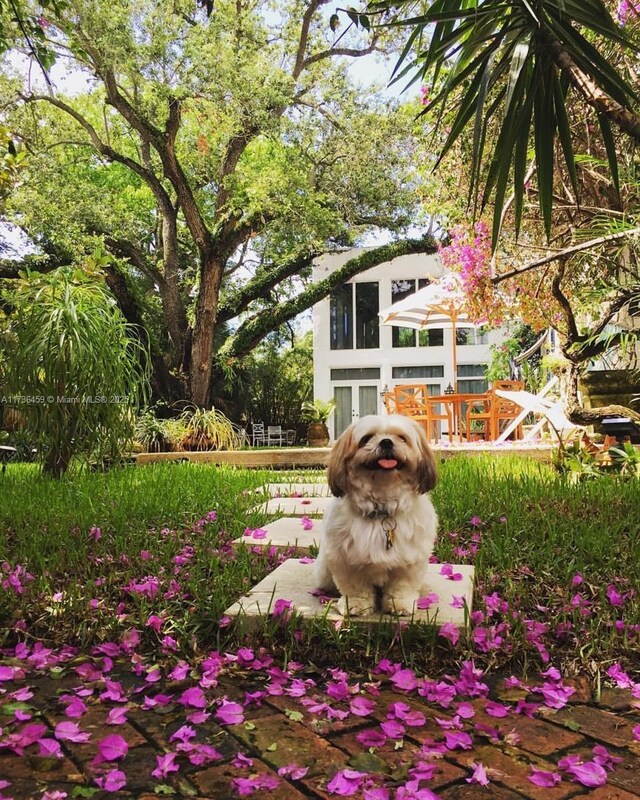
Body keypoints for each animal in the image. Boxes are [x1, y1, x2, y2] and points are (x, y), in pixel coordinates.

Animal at [314, 416, 438, 616]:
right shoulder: (345, 559)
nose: (386, 442)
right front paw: (356, 604)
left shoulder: (410, 559)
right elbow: (355, 586)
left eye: (402, 438)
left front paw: (399, 604)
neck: (382, 506)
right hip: (324, 572)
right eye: (366, 438)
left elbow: (402, 586)